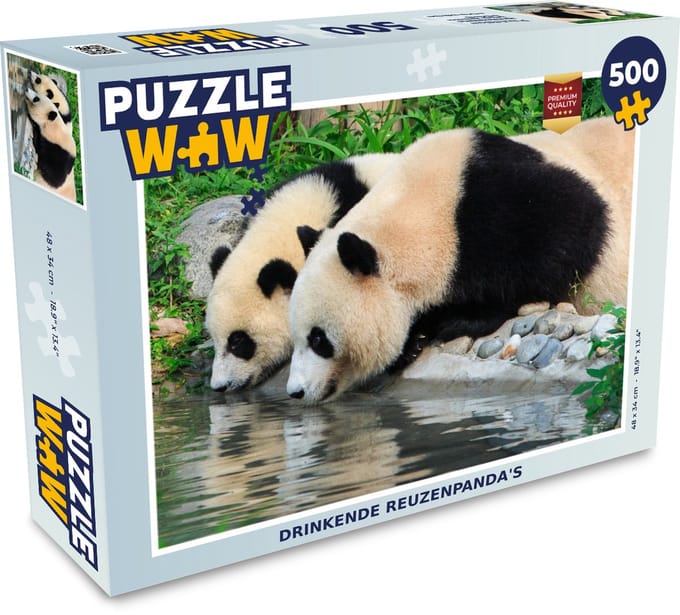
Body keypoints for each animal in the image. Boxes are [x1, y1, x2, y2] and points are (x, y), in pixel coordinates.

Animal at [286, 116, 634, 404]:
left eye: (318, 339)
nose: (295, 391)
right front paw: (414, 339)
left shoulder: (503, 201)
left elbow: (572, 233)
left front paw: (454, 321)